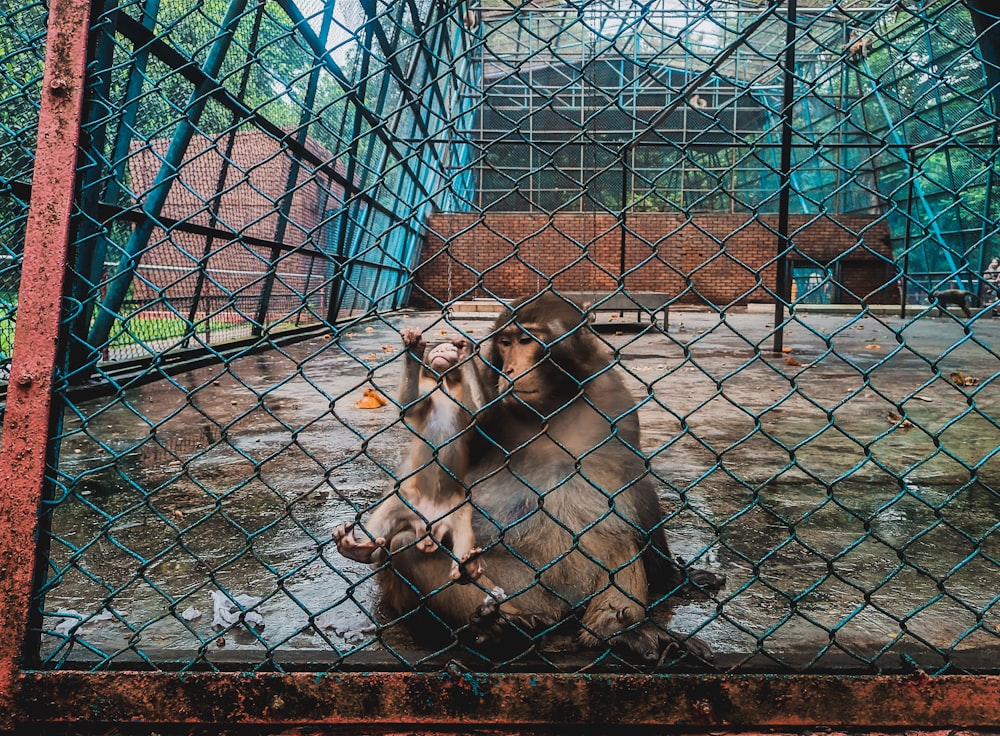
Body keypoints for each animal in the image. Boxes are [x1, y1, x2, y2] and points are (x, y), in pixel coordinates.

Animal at [336, 330, 488, 584]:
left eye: (448, 349)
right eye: (437, 350)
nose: (440, 351)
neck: (446, 384)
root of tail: (428, 527)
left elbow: (479, 413)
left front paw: (466, 351)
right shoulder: (428, 388)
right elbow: (409, 405)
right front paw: (414, 349)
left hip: (457, 509)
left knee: (463, 532)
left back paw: (466, 569)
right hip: (409, 501)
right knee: (391, 507)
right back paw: (356, 550)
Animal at [364, 294, 724, 668]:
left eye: (526, 340)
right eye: (505, 343)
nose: (509, 370)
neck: (552, 406)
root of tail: (559, 615)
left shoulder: (614, 400)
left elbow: (633, 484)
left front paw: (674, 578)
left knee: (618, 534)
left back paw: (617, 631)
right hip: (524, 588)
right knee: (407, 546)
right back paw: (503, 633)